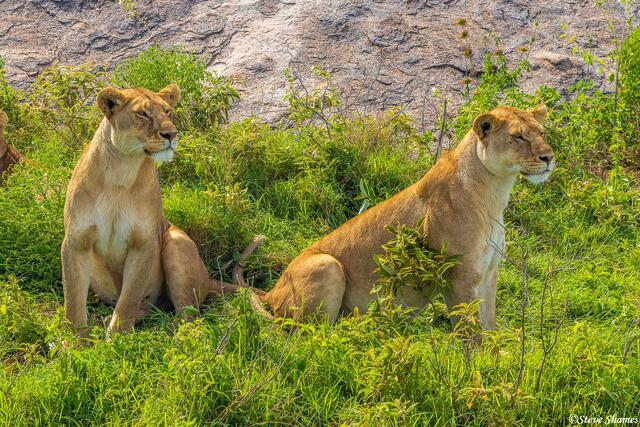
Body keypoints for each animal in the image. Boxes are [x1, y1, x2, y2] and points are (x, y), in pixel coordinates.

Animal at [62, 84, 262, 336]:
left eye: (167, 111)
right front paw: (74, 341)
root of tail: (208, 278)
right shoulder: (76, 241)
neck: (120, 173)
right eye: (142, 114)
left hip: (175, 242)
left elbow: (128, 299)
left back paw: (158, 330)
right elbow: (73, 301)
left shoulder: (144, 241)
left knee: (188, 316)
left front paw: (117, 338)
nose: (171, 134)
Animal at [236, 106, 554, 329]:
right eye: (518, 137)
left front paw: (495, 361)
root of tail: (271, 292)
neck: (494, 193)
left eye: (542, 133)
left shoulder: (488, 272)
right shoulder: (457, 275)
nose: (549, 157)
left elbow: (489, 326)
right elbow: (470, 332)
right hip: (325, 265)